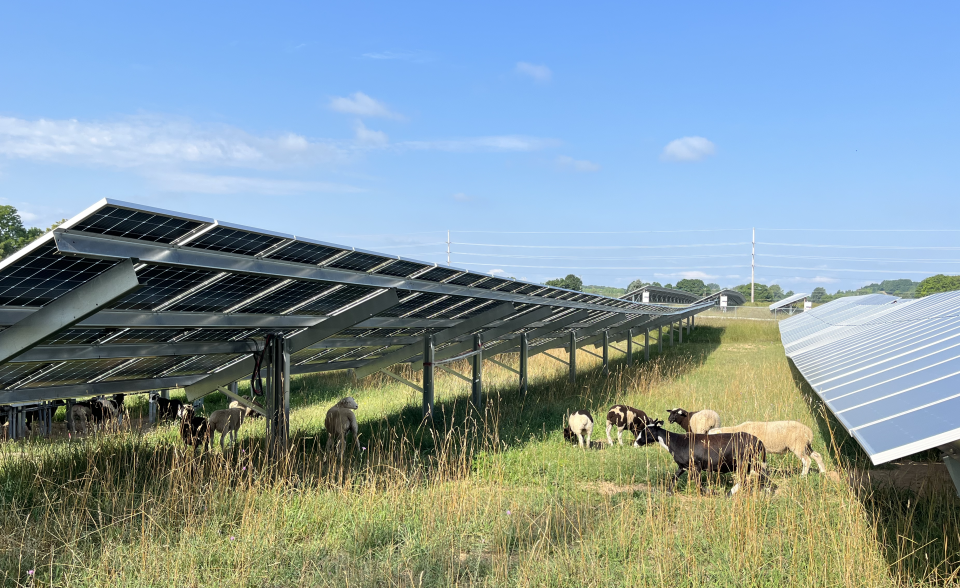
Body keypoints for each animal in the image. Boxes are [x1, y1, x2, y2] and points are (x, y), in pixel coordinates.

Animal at [632, 420, 768, 494]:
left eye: (647, 431)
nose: (636, 443)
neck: (676, 442)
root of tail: (759, 441)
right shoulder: (683, 466)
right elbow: (674, 479)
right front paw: (668, 492)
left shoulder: (696, 465)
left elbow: (698, 484)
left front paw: (711, 492)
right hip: (751, 462)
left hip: (742, 462)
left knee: (745, 479)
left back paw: (729, 493)